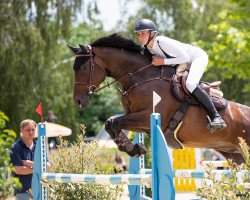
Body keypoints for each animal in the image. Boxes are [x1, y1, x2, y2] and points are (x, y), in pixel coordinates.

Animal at [68, 33, 250, 164]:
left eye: (84, 68)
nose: (78, 101)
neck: (140, 77)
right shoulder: (139, 121)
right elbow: (110, 122)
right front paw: (133, 148)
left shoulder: (148, 116)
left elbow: (114, 122)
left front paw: (132, 148)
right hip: (234, 155)